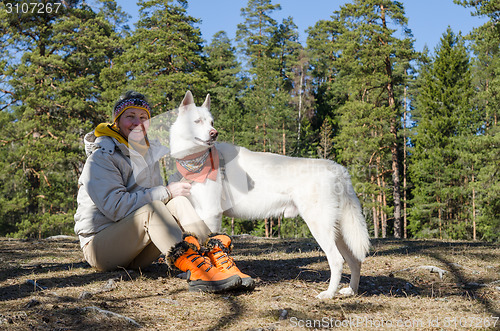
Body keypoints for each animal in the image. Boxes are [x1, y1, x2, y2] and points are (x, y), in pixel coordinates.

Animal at [170, 91, 370, 300]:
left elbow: (208, 247)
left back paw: (329, 294)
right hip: (338, 232)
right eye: (198, 121)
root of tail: (337, 168)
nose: (214, 133)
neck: (196, 161)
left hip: (320, 227)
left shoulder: (211, 213)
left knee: (337, 261)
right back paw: (351, 291)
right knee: (355, 261)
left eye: (211, 122)